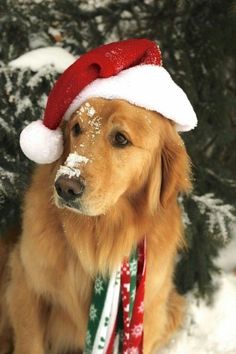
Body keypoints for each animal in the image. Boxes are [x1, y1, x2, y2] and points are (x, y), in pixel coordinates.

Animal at [0, 97, 192, 354]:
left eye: (120, 138)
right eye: (76, 128)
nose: (65, 187)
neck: (98, 233)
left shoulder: (148, 313)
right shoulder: (27, 283)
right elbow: (30, 343)